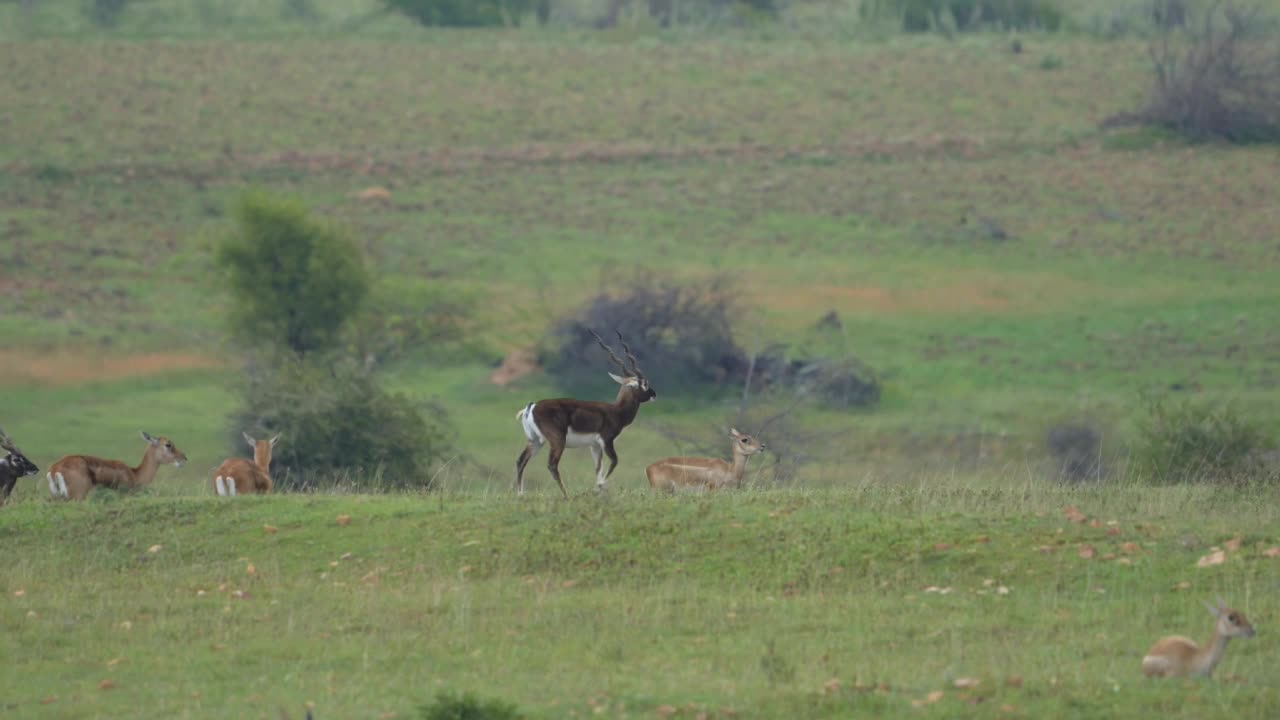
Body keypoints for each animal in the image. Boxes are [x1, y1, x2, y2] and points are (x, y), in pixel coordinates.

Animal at [514, 330, 655, 499]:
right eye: (645, 384)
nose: (654, 394)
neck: (616, 411)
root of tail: (531, 407)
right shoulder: (607, 441)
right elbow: (614, 462)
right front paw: (600, 487)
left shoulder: (594, 446)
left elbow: (598, 468)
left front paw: (598, 491)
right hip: (557, 441)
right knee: (552, 465)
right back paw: (566, 495)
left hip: (534, 440)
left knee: (521, 461)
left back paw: (521, 495)